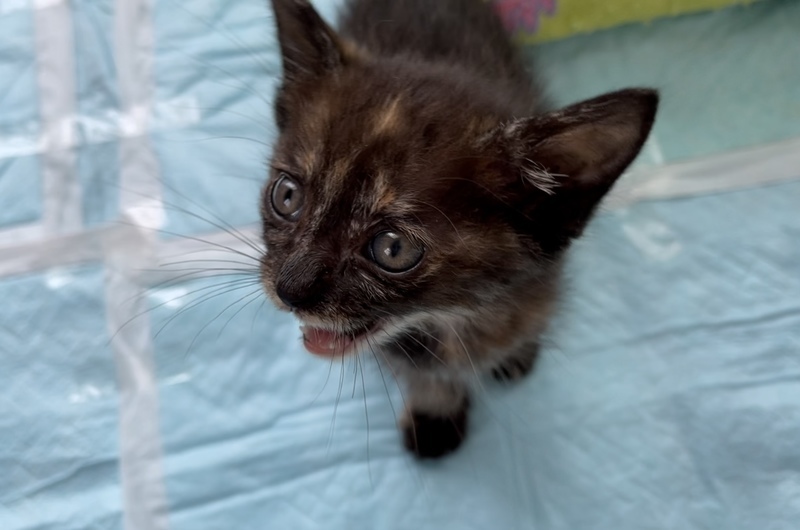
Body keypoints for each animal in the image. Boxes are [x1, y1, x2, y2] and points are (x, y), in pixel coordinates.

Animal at [260, 0, 658, 459]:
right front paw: (435, 409)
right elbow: (422, 372)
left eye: (393, 249)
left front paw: (516, 352)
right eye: (287, 196)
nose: (290, 289)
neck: (455, 318)